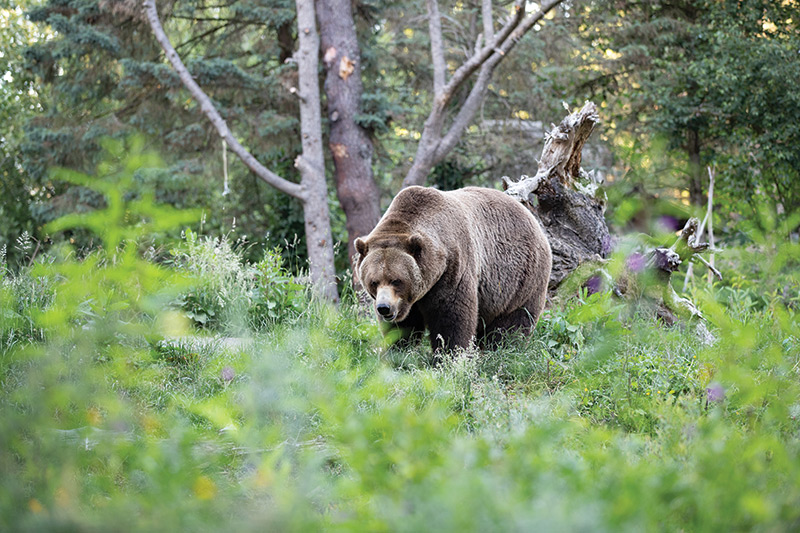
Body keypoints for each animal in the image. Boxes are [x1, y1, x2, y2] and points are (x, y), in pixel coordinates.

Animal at [355, 185, 552, 353]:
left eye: (397, 280)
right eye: (373, 282)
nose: (384, 308)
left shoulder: (452, 268)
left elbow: (451, 318)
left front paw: (449, 355)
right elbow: (403, 326)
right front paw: (397, 350)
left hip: (520, 280)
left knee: (513, 322)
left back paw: (503, 349)